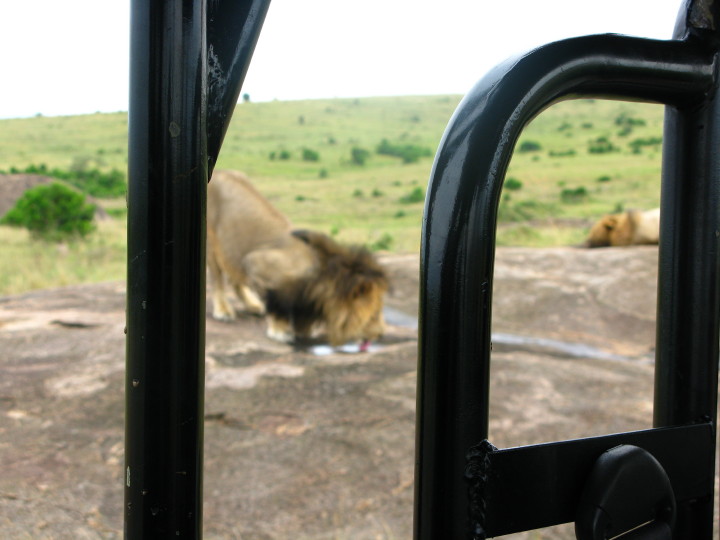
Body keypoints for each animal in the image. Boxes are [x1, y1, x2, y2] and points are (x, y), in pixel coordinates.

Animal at [207, 170, 388, 349]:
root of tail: (219, 171)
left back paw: (253, 305)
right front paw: (280, 331)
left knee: (234, 275)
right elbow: (277, 306)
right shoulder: (256, 263)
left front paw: (304, 330)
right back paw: (223, 310)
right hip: (211, 243)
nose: (381, 334)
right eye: (373, 315)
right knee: (217, 279)